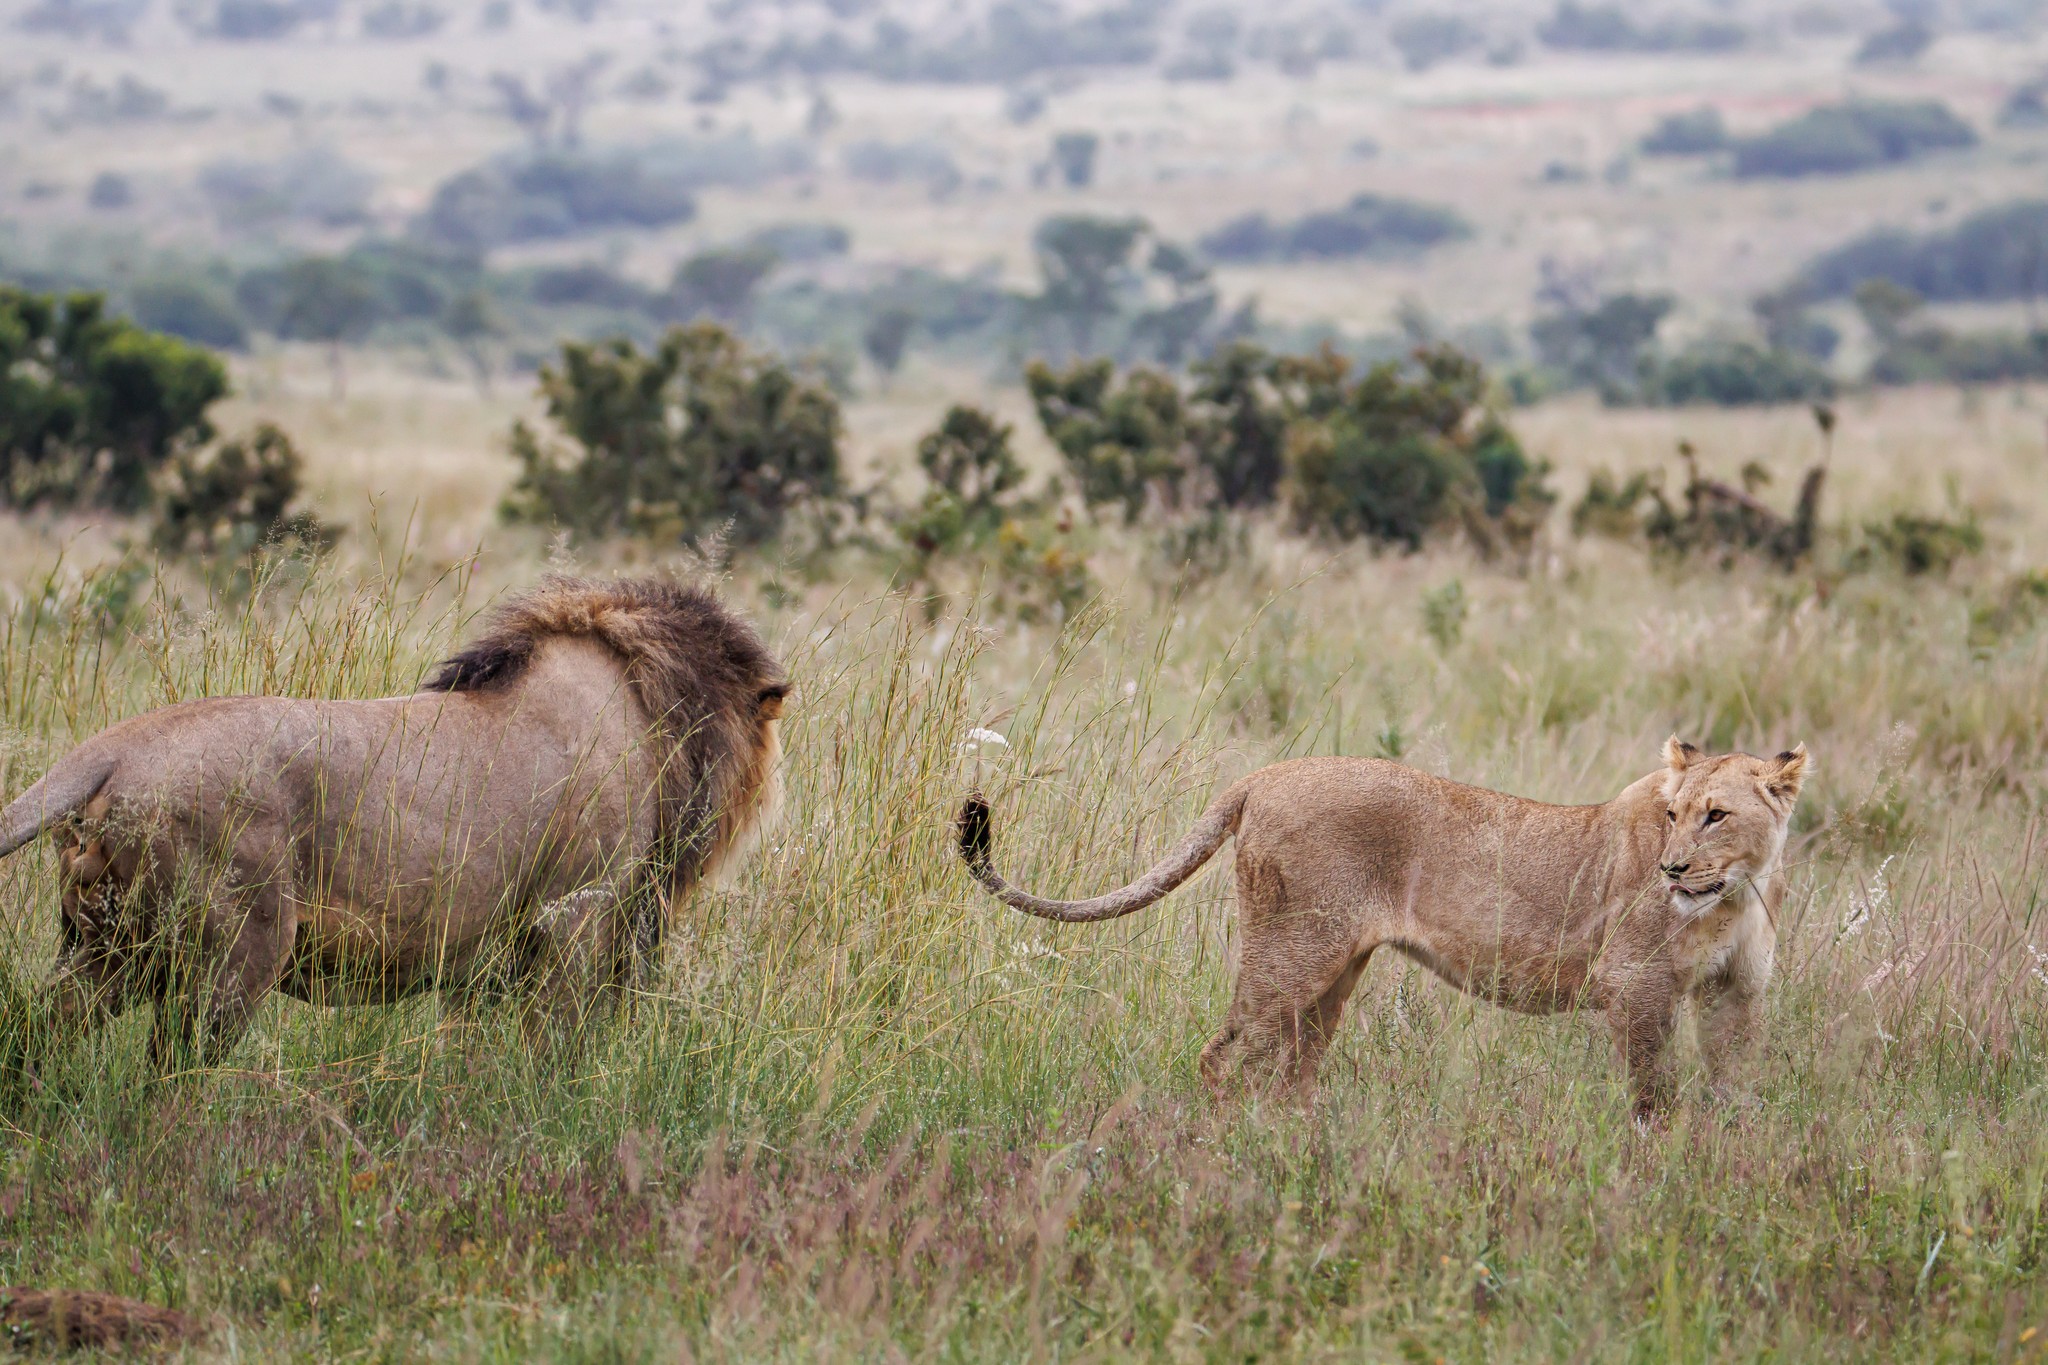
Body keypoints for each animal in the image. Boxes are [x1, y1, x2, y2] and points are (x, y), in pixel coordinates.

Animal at [0, 575, 787, 1069]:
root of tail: (112, 747)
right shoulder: (573, 918)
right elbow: (554, 1051)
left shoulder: (486, 953)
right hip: (237, 948)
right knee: (171, 1073)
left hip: (107, 951)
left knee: (32, 1036)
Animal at [959, 738, 1808, 1117]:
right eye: (1672, 813)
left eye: (1716, 814)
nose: (1671, 869)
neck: (1734, 893)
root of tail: (1264, 774)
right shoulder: (1635, 984)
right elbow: (1653, 1094)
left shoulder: (1735, 995)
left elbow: (1732, 1082)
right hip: (1294, 953)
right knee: (1222, 1055)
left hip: (1335, 975)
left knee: (1292, 1072)